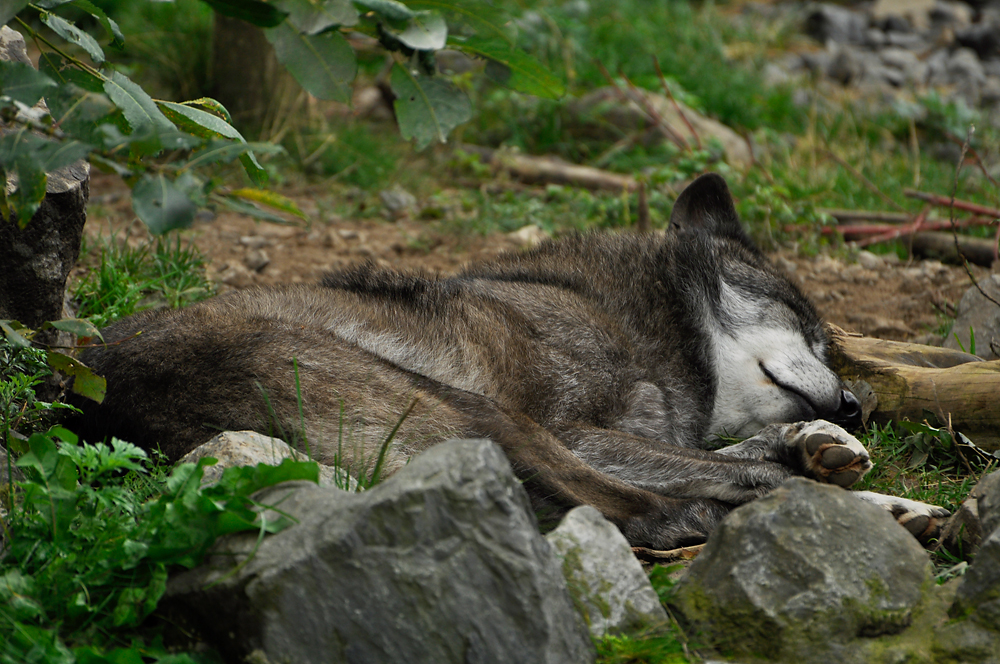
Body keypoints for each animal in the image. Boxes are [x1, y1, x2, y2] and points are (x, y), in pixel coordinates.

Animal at [74, 172, 948, 548]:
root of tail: (91, 405)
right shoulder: (576, 429)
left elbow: (735, 452)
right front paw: (861, 488)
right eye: (807, 322)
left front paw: (825, 448)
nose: (855, 404)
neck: (635, 318)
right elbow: (742, 469)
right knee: (651, 508)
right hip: (475, 411)